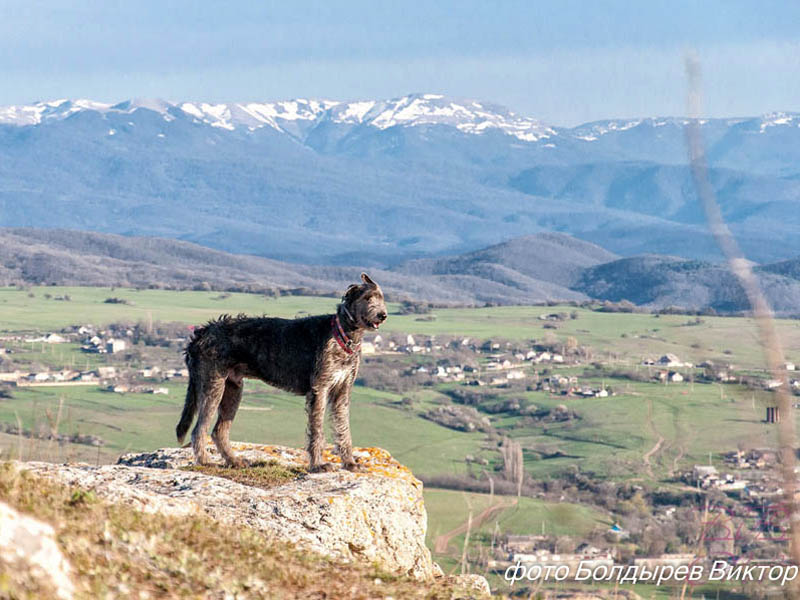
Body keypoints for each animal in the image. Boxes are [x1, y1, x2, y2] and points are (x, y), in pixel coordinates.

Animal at [176, 274, 388, 474]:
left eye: (381, 297)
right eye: (367, 298)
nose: (383, 315)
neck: (343, 334)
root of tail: (200, 334)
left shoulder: (342, 392)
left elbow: (343, 428)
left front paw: (350, 463)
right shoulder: (319, 389)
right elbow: (316, 430)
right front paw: (318, 465)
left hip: (233, 389)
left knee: (219, 431)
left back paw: (234, 461)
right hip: (212, 386)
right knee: (199, 430)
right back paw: (205, 461)